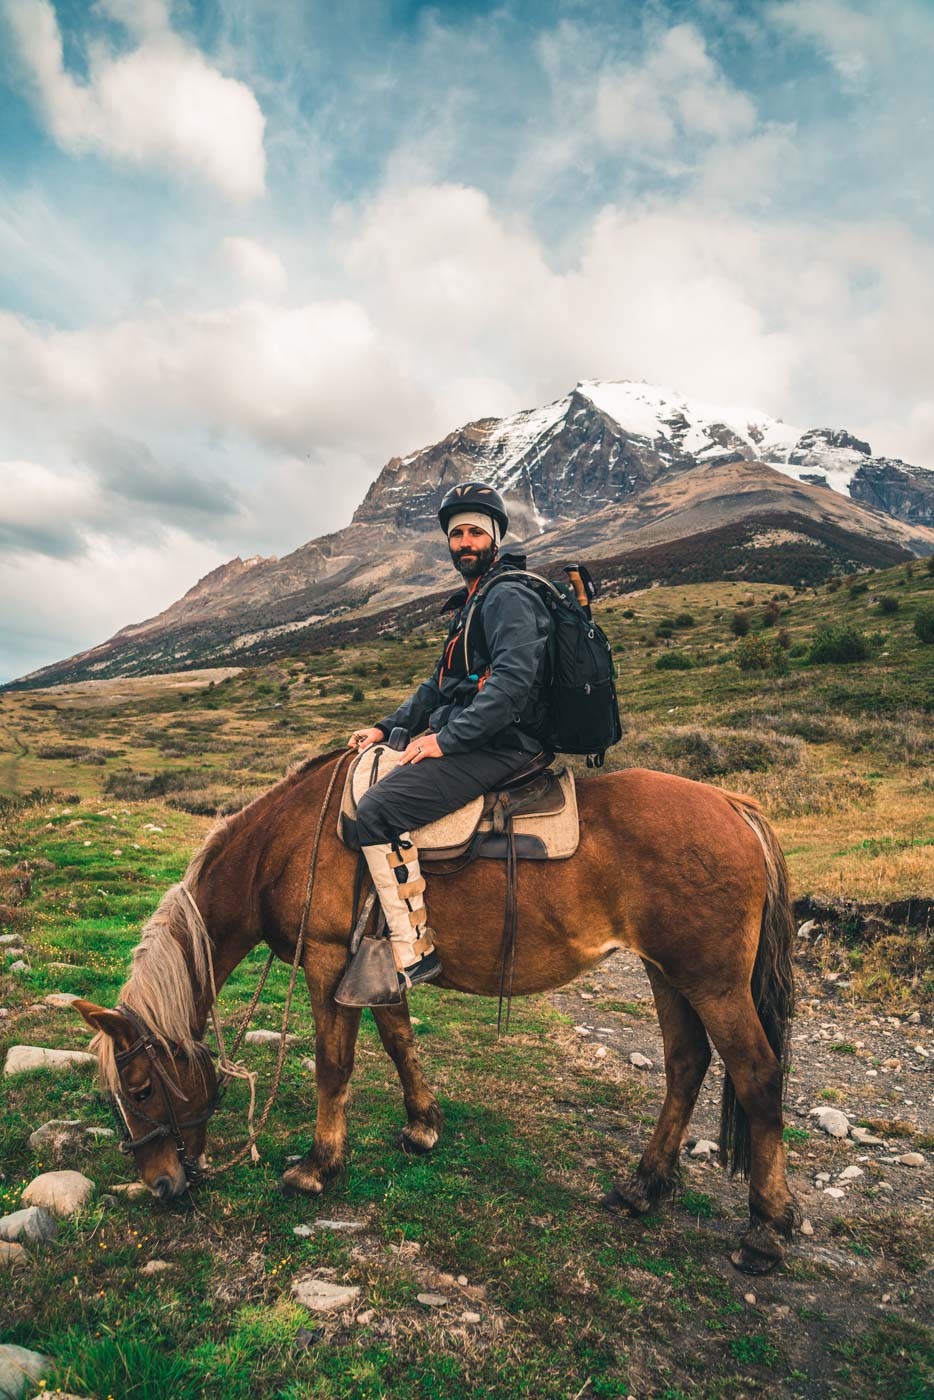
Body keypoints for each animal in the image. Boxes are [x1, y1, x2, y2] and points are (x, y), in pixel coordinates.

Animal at [76, 750, 800, 1276]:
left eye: (140, 1090)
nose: (162, 1185)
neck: (281, 848)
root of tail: (734, 806)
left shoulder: (327, 960)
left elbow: (333, 1064)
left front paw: (318, 1166)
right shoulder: (377, 966)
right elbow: (399, 1040)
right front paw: (423, 1126)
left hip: (711, 981)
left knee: (757, 1075)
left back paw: (765, 1230)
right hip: (667, 973)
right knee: (686, 1063)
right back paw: (644, 1186)